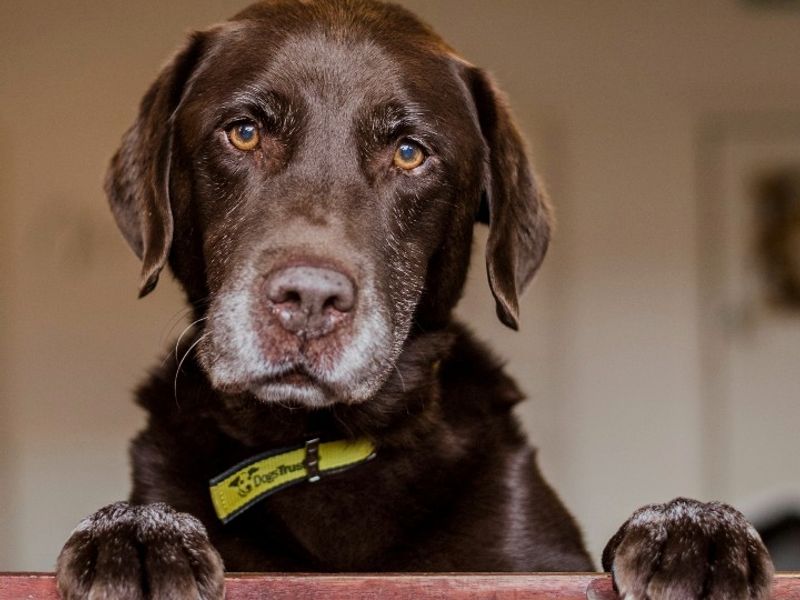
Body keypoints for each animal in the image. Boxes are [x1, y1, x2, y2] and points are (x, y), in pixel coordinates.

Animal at [53, 2, 772, 596]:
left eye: (408, 153)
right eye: (244, 132)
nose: (308, 299)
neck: (320, 449)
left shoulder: (536, 563)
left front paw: (692, 527)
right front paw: (137, 533)